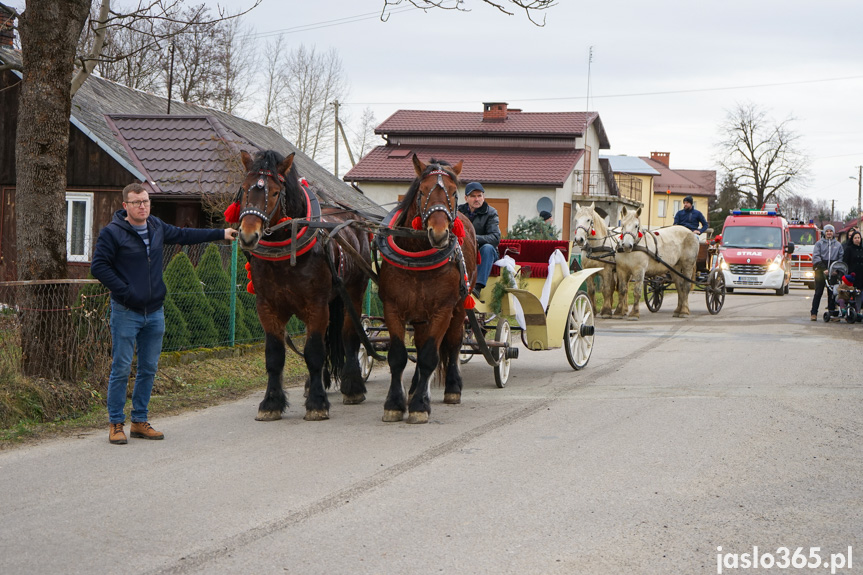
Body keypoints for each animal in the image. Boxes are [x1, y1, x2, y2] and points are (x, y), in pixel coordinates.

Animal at [236, 148, 372, 420]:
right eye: (244, 188)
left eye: (274, 192)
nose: (248, 235)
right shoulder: (267, 307)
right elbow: (275, 356)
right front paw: (271, 403)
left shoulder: (316, 305)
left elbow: (314, 352)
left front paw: (317, 403)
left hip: (353, 293)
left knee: (350, 337)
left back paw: (353, 386)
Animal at [374, 155, 476, 426]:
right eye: (422, 191)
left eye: (454, 192)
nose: (439, 233)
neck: (417, 256)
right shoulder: (392, 308)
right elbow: (398, 356)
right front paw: (395, 403)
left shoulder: (442, 310)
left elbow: (431, 355)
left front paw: (420, 405)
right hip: (420, 316)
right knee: (419, 347)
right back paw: (412, 390)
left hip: (459, 308)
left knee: (452, 344)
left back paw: (452, 388)